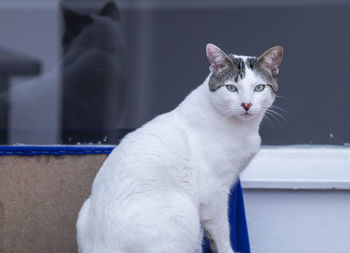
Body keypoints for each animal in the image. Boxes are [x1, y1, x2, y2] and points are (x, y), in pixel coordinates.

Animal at [76, 43, 282, 253]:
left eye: (259, 88)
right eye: (231, 88)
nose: (246, 104)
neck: (244, 129)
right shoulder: (215, 193)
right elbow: (222, 234)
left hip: (85, 208)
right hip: (184, 215)